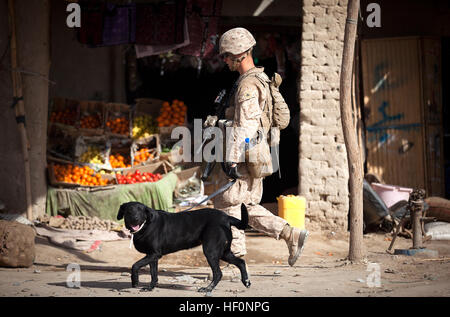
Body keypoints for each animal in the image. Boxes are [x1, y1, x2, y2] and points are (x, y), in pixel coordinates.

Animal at [117, 201, 250, 292]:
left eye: (141, 211)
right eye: (129, 211)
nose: (135, 219)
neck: (145, 226)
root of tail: (226, 217)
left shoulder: (154, 254)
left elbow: (135, 265)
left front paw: (135, 281)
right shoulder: (152, 256)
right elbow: (153, 274)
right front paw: (150, 288)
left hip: (211, 251)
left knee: (218, 273)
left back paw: (208, 289)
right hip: (224, 252)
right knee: (241, 262)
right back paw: (246, 281)